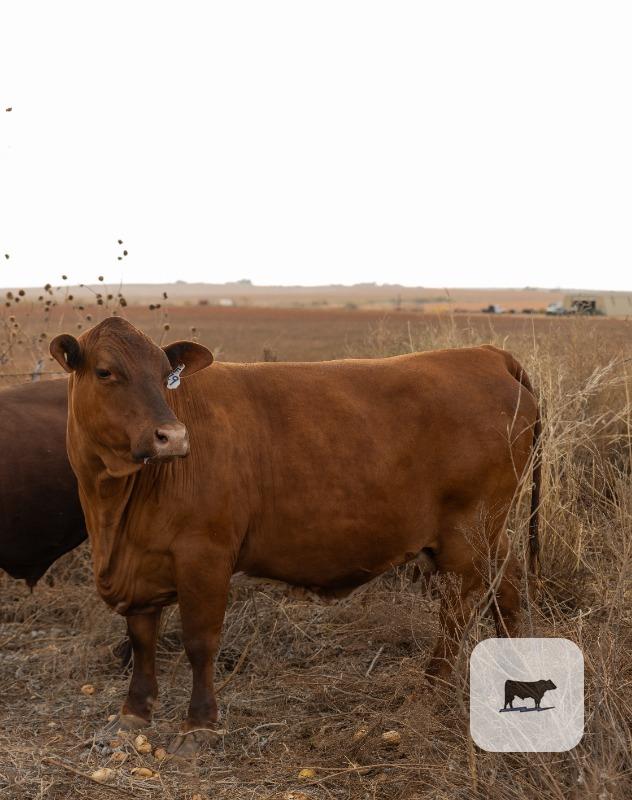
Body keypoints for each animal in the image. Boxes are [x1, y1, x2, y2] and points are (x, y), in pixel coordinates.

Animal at [50, 316, 541, 755]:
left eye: (165, 377)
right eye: (105, 371)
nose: (171, 437)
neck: (114, 513)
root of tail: (485, 354)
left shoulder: (205, 556)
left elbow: (200, 642)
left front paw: (199, 725)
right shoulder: (139, 565)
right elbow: (142, 639)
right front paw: (132, 713)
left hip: (466, 533)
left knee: (459, 608)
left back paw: (431, 692)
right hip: (489, 533)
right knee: (507, 587)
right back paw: (513, 663)